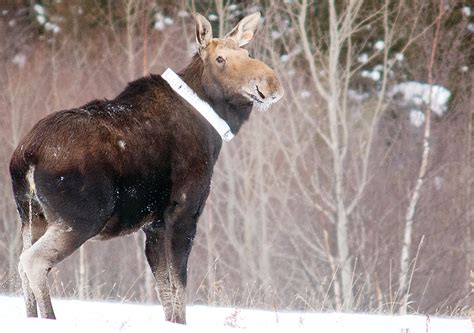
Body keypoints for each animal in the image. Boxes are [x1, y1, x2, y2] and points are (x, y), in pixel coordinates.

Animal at [9, 11, 282, 322]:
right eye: (220, 59)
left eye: (247, 53)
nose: (270, 84)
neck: (213, 128)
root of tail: (26, 156)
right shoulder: (183, 212)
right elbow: (179, 286)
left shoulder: (154, 225)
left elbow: (165, 291)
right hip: (81, 218)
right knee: (32, 261)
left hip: (31, 215)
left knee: (21, 264)